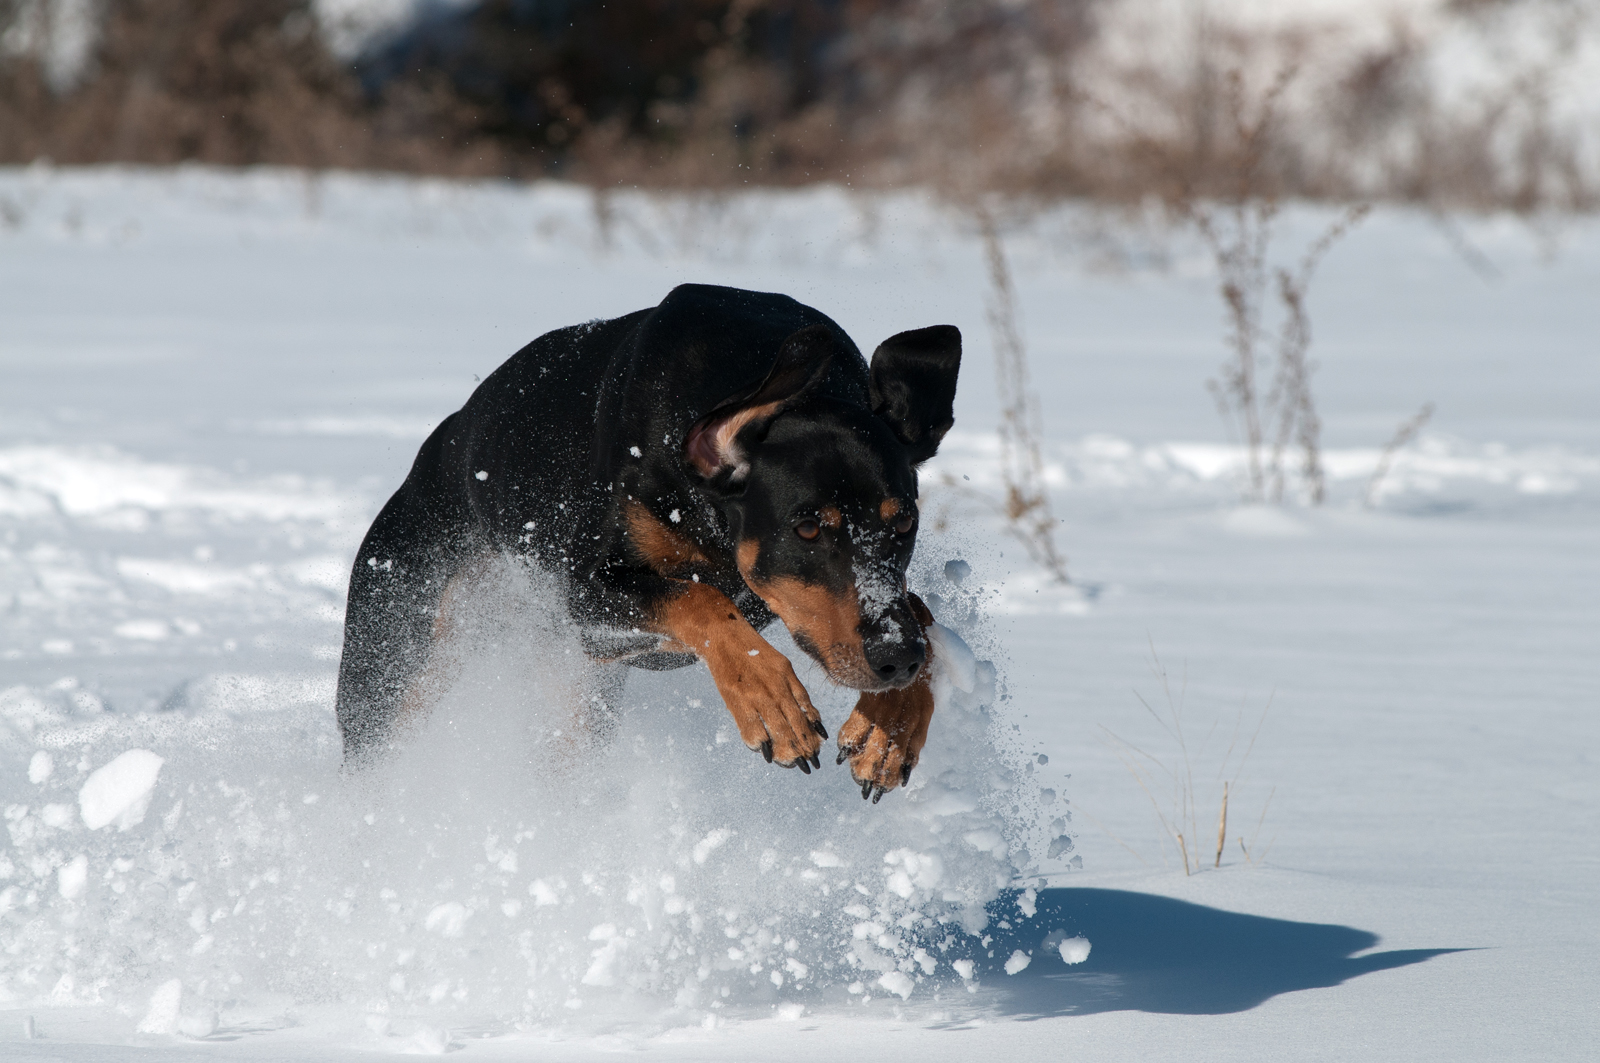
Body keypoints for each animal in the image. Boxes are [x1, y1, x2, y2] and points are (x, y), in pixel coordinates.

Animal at [337, 281, 960, 797]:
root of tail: (434, 449)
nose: (895, 659)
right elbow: (699, 598)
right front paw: (770, 700)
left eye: (904, 522)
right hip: (396, 653)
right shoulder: (585, 597)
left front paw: (891, 731)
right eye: (806, 527)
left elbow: (921, 614)